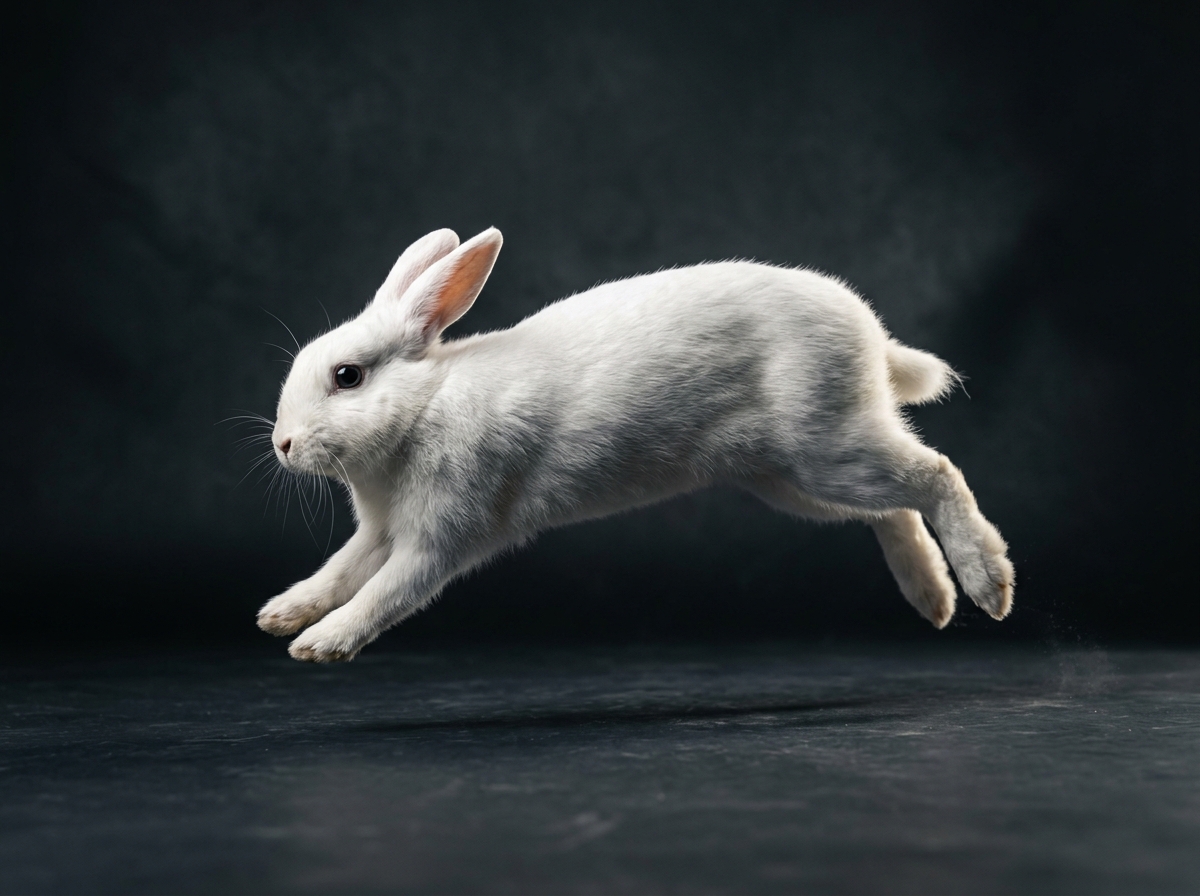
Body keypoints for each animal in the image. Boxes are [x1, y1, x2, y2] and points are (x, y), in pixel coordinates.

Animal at [258, 226, 1014, 662]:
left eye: (347, 376)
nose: (283, 445)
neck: (422, 408)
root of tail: (870, 334)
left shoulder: (437, 538)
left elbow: (383, 593)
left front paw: (319, 645)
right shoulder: (381, 531)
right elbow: (339, 571)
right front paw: (280, 616)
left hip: (829, 449)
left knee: (936, 474)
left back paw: (988, 584)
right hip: (795, 480)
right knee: (894, 508)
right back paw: (932, 597)